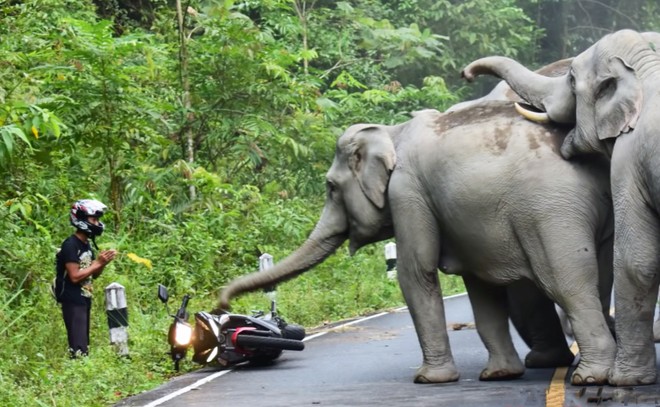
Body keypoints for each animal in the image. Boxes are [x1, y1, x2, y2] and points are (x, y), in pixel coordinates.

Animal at [217, 101, 612, 386]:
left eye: (330, 187)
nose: (222, 302)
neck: (392, 133)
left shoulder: (407, 192)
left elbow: (415, 273)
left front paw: (428, 380)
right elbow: (480, 289)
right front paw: (498, 375)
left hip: (550, 212)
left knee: (567, 284)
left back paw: (589, 377)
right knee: (601, 279)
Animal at [462, 28, 660, 386]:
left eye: (570, 79)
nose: (466, 74)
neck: (646, 70)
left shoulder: (629, 159)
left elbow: (635, 261)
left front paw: (625, 381)